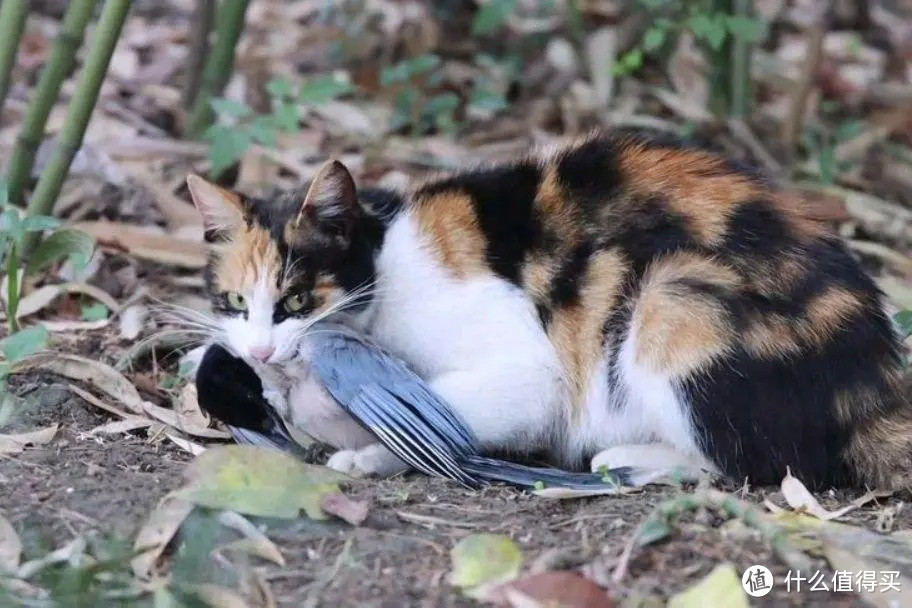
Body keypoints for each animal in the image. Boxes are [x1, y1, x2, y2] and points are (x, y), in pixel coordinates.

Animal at [183, 131, 912, 492]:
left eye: (297, 299)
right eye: (236, 302)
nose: (261, 351)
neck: (385, 260)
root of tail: (873, 391)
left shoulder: (530, 369)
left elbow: (455, 416)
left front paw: (367, 455)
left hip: (675, 298)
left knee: (761, 463)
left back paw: (627, 458)